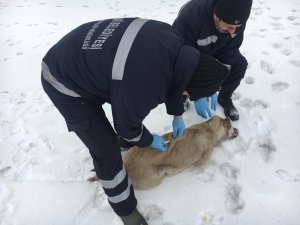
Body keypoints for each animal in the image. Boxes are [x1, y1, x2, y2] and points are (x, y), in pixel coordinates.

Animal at [88, 115, 238, 189]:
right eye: (232, 127)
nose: (238, 130)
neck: (209, 129)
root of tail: (126, 166)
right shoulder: (204, 158)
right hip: (157, 178)